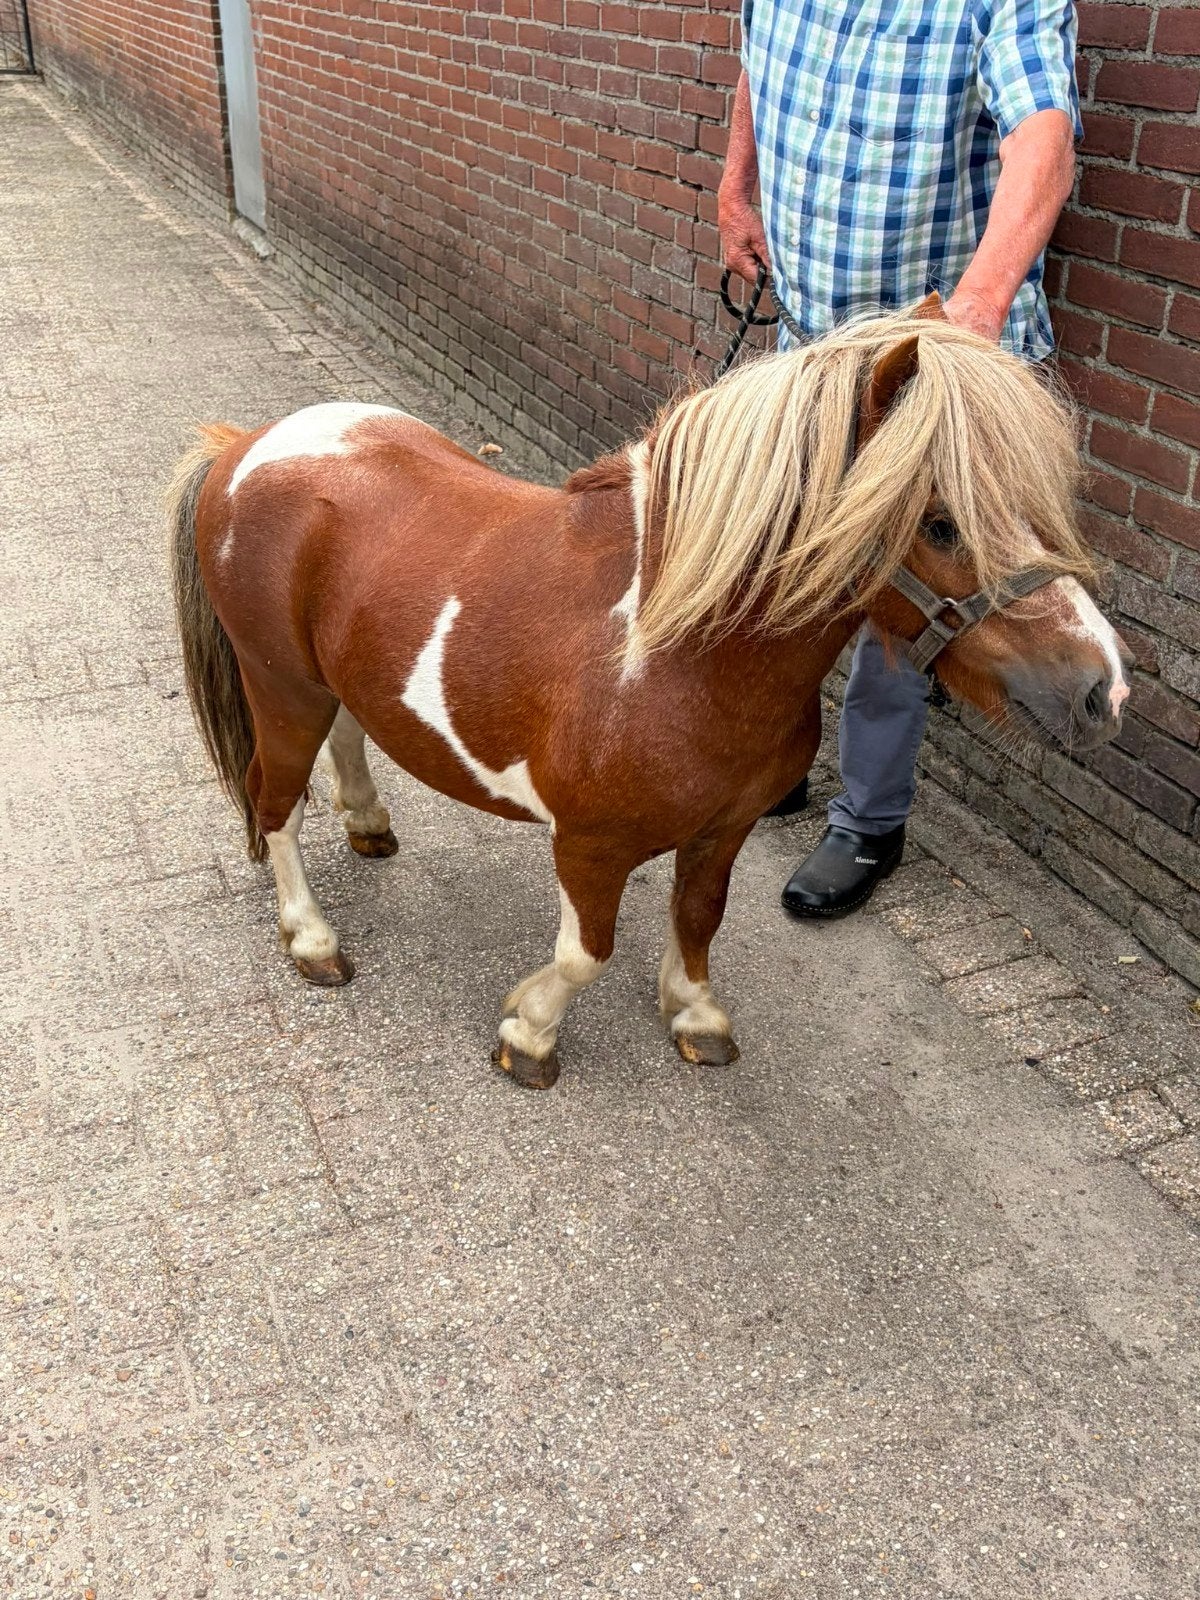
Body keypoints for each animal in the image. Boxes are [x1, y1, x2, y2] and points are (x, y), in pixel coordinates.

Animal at [168, 298, 1130, 1090]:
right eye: (939, 524)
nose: (1102, 690)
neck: (679, 652)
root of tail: (245, 445)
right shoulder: (588, 848)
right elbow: (586, 953)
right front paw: (529, 1033)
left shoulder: (726, 827)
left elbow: (700, 917)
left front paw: (694, 1014)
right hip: (279, 686)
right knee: (274, 804)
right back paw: (312, 939)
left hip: (326, 681)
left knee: (348, 738)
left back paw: (369, 823)